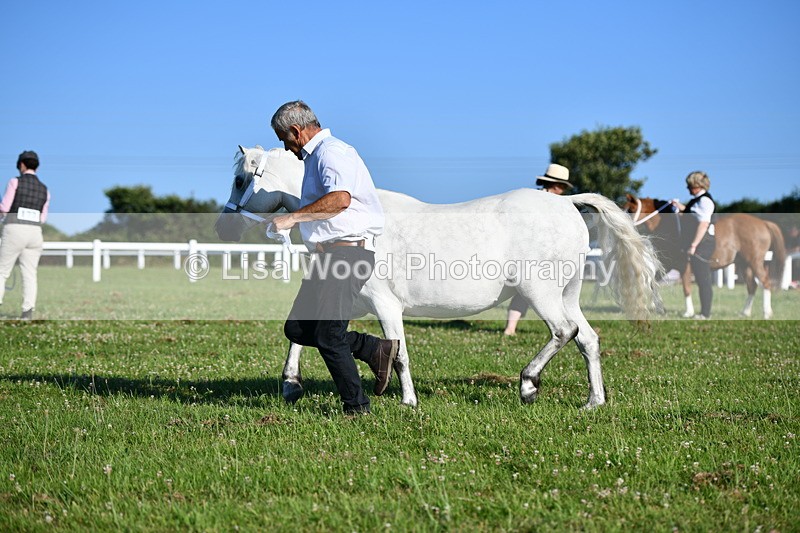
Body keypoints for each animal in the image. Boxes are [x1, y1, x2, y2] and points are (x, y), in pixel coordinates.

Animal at [215, 146, 663, 409]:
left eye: (240, 179)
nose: (223, 228)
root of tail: (568, 203)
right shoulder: (348, 301)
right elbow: (303, 335)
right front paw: (291, 385)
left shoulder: (385, 304)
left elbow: (398, 353)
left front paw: (408, 403)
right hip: (565, 293)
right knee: (588, 339)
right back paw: (593, 402)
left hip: (540, 293)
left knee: (563, 332)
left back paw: (528, 384)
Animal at [623, 194, 786, 319]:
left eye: (631, 209)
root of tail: (764, 223)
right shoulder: (668, 265)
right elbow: (651, 282)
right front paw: (655, 306)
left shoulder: (684, 266)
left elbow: (686, 288)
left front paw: (688, 312)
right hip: (743, 264)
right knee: (752, 286)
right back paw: (745, 312)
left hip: (754, 261)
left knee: (765, 282)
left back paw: (766, 313)